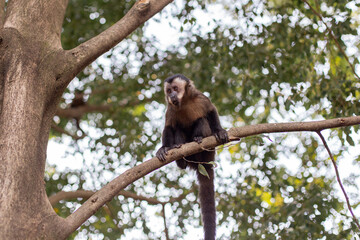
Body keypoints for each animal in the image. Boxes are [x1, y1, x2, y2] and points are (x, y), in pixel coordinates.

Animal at [156, 74, 229, 240]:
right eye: (168, 91)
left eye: (175, 89)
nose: (171, 96)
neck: (184, 102)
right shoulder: (171, 108)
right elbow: (168, 127)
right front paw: (163, 148)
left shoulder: (202, 98)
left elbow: (211, 112)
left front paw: (219, 130)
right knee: (177, 128)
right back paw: (180, 155)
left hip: (208, 150)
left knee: (202, 120)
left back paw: (198, 138)